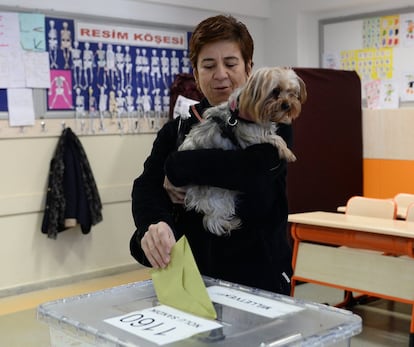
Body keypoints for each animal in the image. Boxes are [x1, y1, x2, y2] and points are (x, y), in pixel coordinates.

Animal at [180, 66, 306, 237]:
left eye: (292, 92)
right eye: (275, 91)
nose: (287, 105)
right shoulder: (251, 136)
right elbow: (275, 138)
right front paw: (287, 152)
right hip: (216, 193)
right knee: (212, 218)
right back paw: (231, 223)